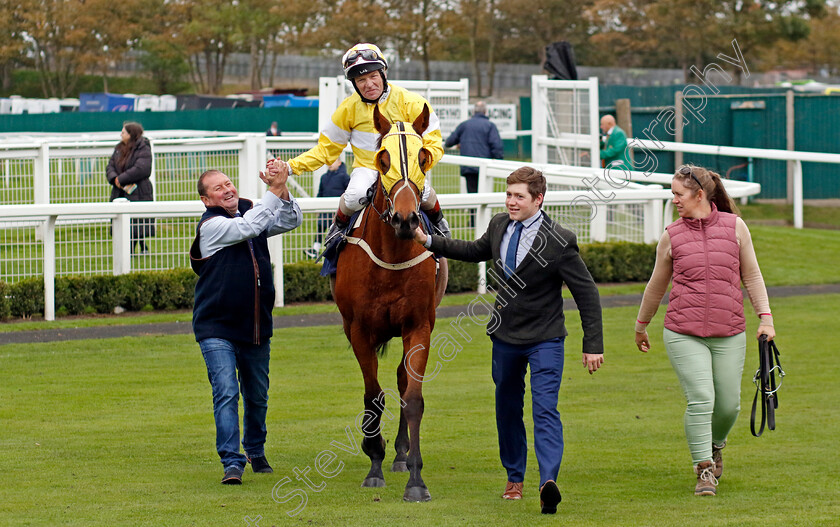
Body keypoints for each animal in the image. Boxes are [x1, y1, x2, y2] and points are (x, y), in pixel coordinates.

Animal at [328, 103, 446, 504]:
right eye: (382, 158)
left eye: (423, 156)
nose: (407, 220)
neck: (392, 255)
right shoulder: (359, 330)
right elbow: (373, 396)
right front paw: (373, 461)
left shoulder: (419, 325)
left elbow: (413, 397)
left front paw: (416, 479)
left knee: (400, 378)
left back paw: (400, 454)